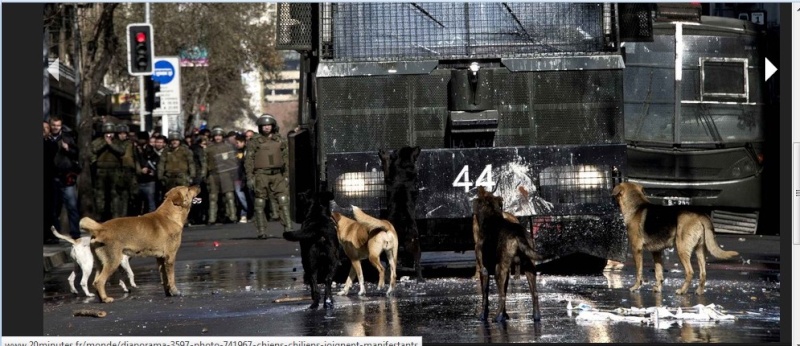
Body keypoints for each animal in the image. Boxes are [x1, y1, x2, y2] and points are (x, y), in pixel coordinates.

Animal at [476, 185, 544, 324]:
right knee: (534, 293)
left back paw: (496, 317)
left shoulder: (484, 269)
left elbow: (485, 296)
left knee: (501, 296)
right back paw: (536, 316)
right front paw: (505, 315)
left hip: (499, 269)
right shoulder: (506, 271)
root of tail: (518, 233)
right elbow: (505, 291)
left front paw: (484, 316)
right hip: (529, 266)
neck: (491, 216)